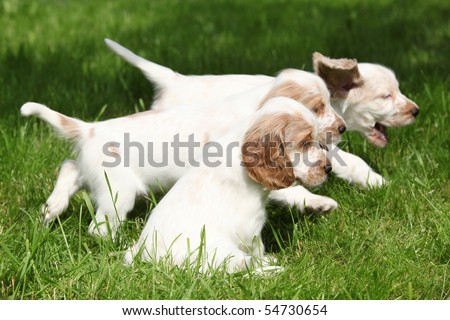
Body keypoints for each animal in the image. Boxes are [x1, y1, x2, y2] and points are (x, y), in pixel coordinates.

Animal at [125, 97, 328, 272]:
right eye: (305, 143)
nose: (329, 168)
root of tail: (147, 257)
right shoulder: (250, 227)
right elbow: (256, 250)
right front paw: (266, 261)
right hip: (222, 252)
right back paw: (274, 271)